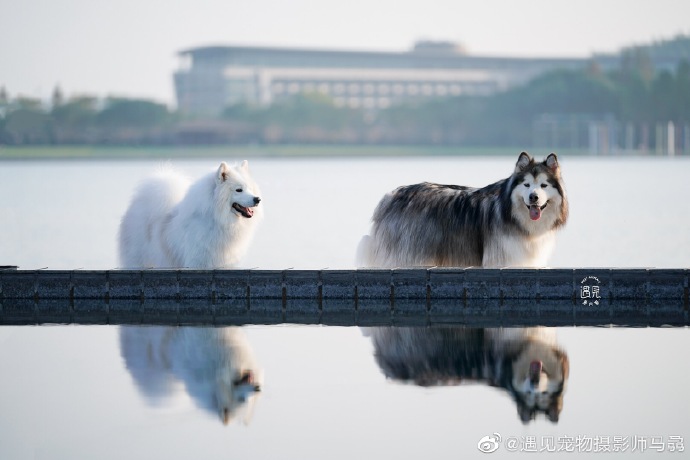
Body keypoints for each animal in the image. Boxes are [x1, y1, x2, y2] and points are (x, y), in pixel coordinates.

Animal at [118, 162, 260, 270]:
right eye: (238, 190)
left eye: (249, 189)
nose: (257, 199)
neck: (218, 219)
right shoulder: (198, 261)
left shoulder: (226, 263)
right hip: (138, 260)